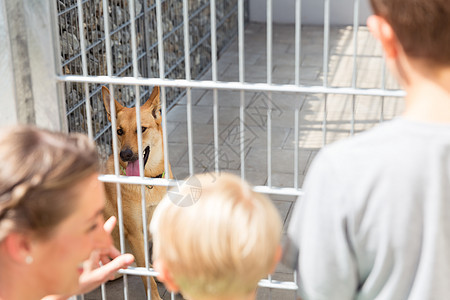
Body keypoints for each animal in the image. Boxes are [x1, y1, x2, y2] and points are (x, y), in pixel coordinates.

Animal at [102, 85, 172, 298]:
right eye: (119, 131)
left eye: (141, 129)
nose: (125, 154)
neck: (147, 181)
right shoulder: (134, 233)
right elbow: (147, 279)